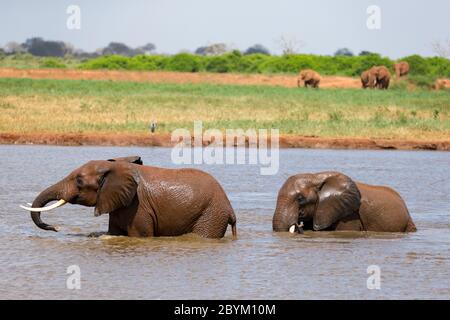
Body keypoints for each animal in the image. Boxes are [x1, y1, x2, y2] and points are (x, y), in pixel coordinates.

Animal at [21, 155, 237, 238]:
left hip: (210, 215)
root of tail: (230, 208)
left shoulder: (138, 207)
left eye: (80, 181)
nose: (56, 228)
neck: (115, 166)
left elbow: (140, 236)